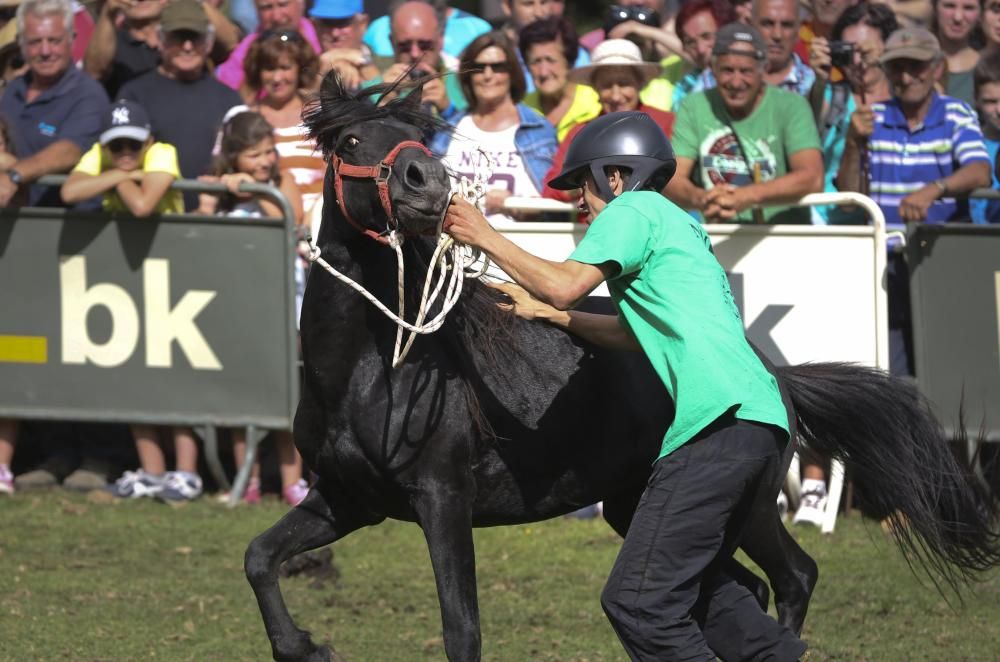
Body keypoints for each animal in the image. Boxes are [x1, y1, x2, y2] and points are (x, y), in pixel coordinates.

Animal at [244, 75, 1000, 660]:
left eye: (422, 141)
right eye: (350, 142)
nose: (427, 184)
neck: (367, 375)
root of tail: (773, 373)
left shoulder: (442, 500)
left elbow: (462, 631)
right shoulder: (350, 499)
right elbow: (260, 558)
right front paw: (304, 644)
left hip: (746, 507)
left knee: (794, 577)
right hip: (639, 507)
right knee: (739, 590)